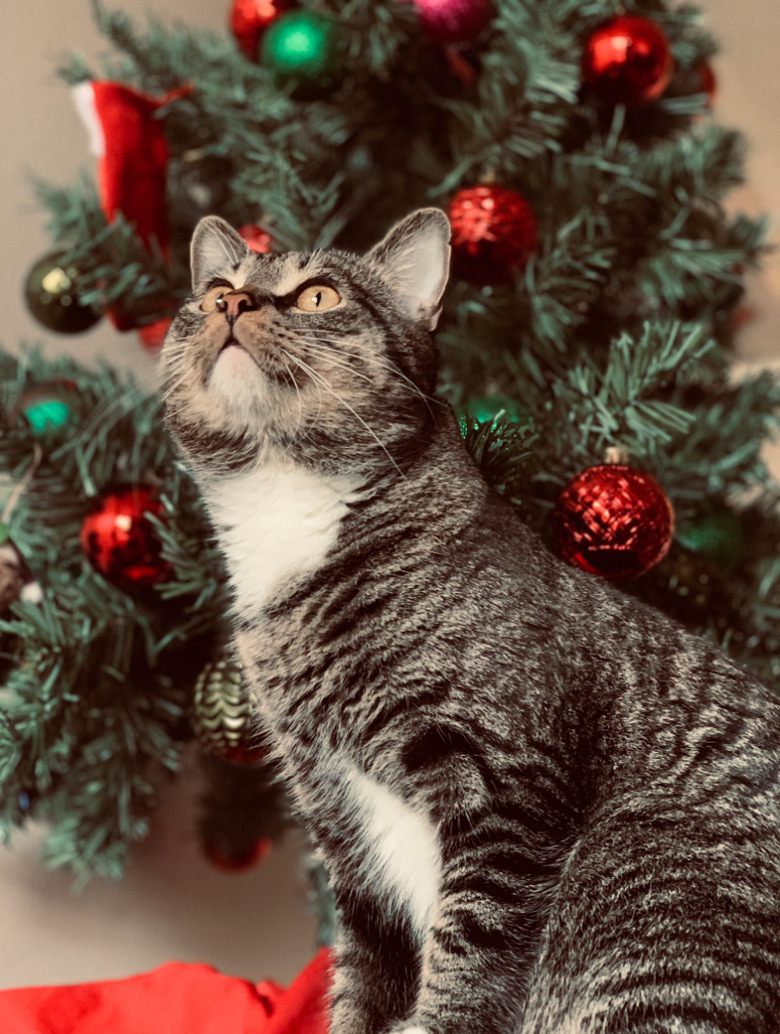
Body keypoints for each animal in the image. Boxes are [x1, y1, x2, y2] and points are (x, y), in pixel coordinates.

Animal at [162, 211, 777, 1034]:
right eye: (213, 291)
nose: (231, 304)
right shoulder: (342, 832)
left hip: (646, 882)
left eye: (320, 295)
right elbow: (361, 985)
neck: (290, 520)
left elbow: (467, 968)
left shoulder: (505, 797)